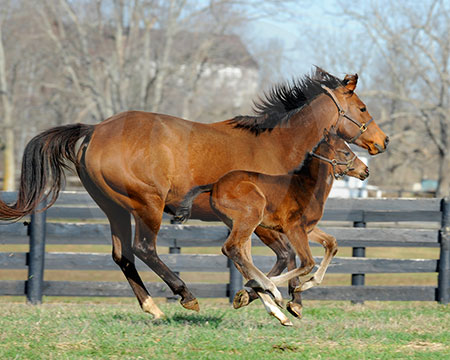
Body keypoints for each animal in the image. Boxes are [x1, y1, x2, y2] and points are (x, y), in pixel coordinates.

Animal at [176, 130, 370, 326]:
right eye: (345, 152)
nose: (366, 171)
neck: (307, 188)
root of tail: (215, 185)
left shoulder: (307, 229)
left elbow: (331, 243)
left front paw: (304, 285)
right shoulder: (294, 228)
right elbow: (308, 262)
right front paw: (285, 287)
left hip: (240, 224)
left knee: (241, 256)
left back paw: (276, 312)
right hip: (251, 216)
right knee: (231, 248)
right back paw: (270, 291)